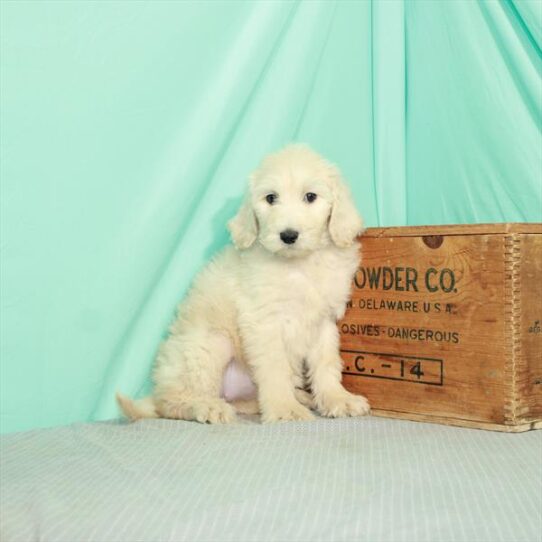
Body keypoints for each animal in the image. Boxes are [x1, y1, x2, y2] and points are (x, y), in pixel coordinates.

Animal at [118, 144, 372, 424]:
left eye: (310, 196)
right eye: (271, 198)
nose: (288, 235)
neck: (298, 266)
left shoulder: (322, 321)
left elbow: (326, 364)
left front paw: (337, 399)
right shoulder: (264, 322)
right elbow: (275, 368)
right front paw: (284, 408)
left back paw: (298, 396)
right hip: (209, 346)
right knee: (172, 401)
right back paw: (207, 407)